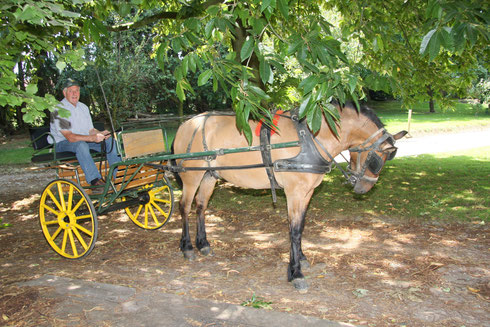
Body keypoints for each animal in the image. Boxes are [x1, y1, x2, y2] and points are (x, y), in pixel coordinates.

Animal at [170, 103, 408, 292]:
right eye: (378, 158)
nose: (363, 188)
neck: (311, 138)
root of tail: (186, 125)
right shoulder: (294, 192)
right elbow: (293, 230)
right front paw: (295, 273)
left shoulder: (307, 192)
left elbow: (300, 227)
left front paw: (301, 258)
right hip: (192, 175)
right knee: (185, 207)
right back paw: (187, 247)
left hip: (209, 175)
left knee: (201, 206)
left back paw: (203, 244)